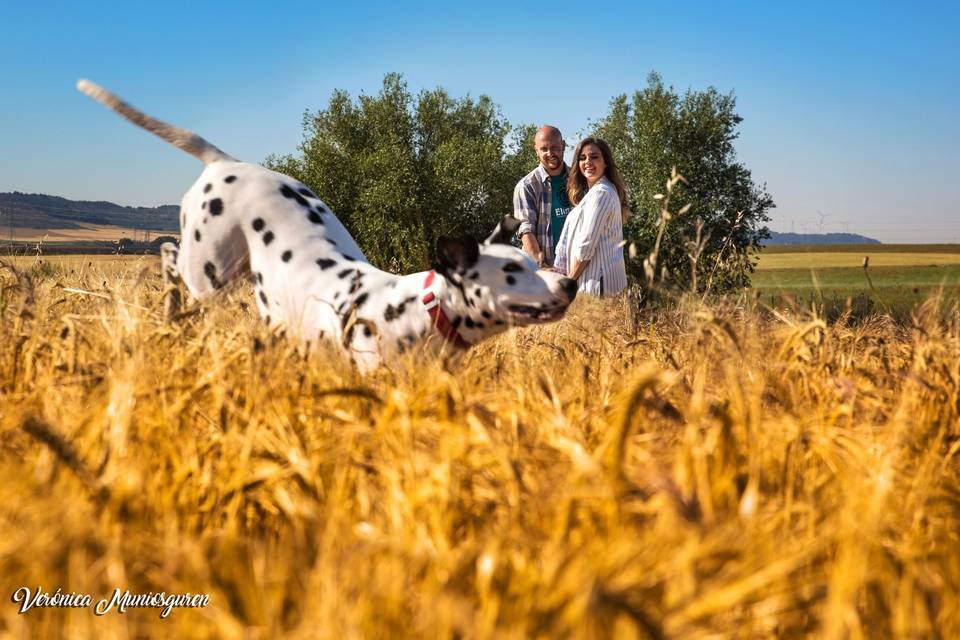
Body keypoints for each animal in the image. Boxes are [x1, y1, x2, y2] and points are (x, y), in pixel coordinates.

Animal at [77, 80, 576, 370]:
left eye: (532, 265)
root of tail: (226, 162)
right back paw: (169, 306)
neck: (415, 310)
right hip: (209, 269)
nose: (568, 284)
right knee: (169, 254)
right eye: (512, 273)